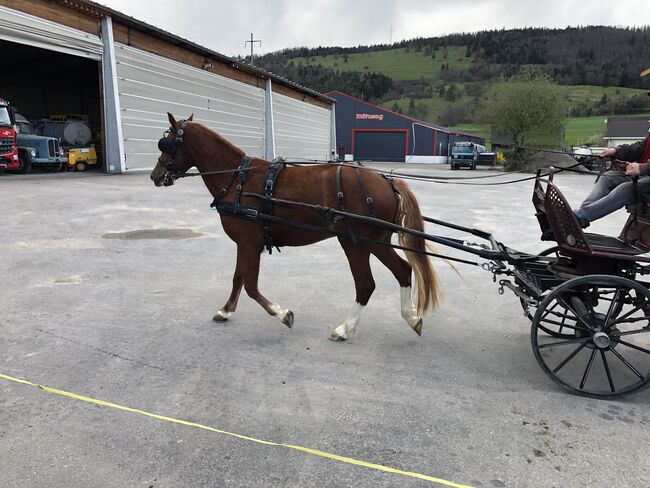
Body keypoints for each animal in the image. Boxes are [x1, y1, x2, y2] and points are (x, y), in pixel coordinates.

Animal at [149, 113, 438, 340]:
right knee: (403, 270)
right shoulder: (245, 243)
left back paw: (346, 329)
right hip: (376, 240)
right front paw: (226, 309)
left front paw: (282, 313)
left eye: (167, 143)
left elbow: (251, 285)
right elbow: (238, 278)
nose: (155, 176)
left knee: (366, 283)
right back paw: (412, 318)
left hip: (355, 241)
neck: (237, 179)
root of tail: (386, 181)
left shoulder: (250, 242)